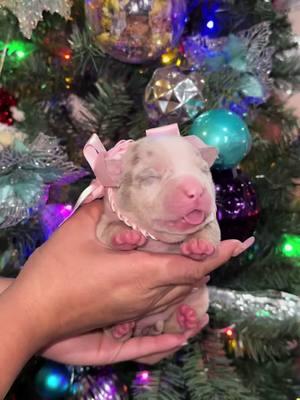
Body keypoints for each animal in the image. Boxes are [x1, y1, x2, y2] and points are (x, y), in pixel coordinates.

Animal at [96, 124, 220, 340]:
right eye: (151, 177)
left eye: (204, 170)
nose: (196, 190)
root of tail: (149, 325)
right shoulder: (106, 217)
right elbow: (108, 229)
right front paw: (125, 236)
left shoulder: (211, 219)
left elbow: (211, 230)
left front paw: (199, 245)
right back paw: (120, 328)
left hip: (198, 297)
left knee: (174, 325)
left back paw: (185, 318)